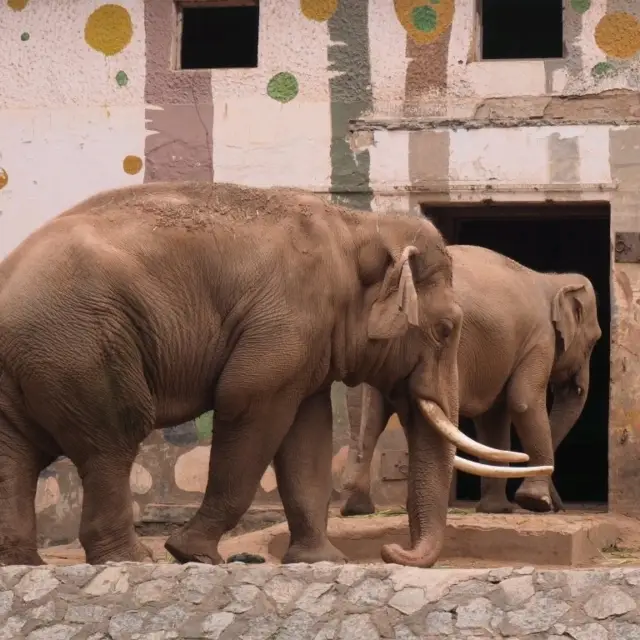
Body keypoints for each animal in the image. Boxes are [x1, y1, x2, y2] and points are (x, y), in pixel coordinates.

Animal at [0, 182, 552, 568]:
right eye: (445, 330)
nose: (392, 552)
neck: (357, 226)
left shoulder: (309, 342)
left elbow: (307, 435)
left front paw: (322, 562)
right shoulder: (286, 318)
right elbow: (249, 405)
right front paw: (193, 553)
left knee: (18, 452)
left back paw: (23, 562)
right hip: (82, 345)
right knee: (112, 439)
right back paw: (132, 560)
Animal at [342, 244, 604, 516]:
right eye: (594, 341)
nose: (559, 506)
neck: (553, 280)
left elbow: (493, 418)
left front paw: (496, 509)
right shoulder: (540, 339)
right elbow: (524, 401)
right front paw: (535, 502)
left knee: (368, 419)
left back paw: (356, 507)